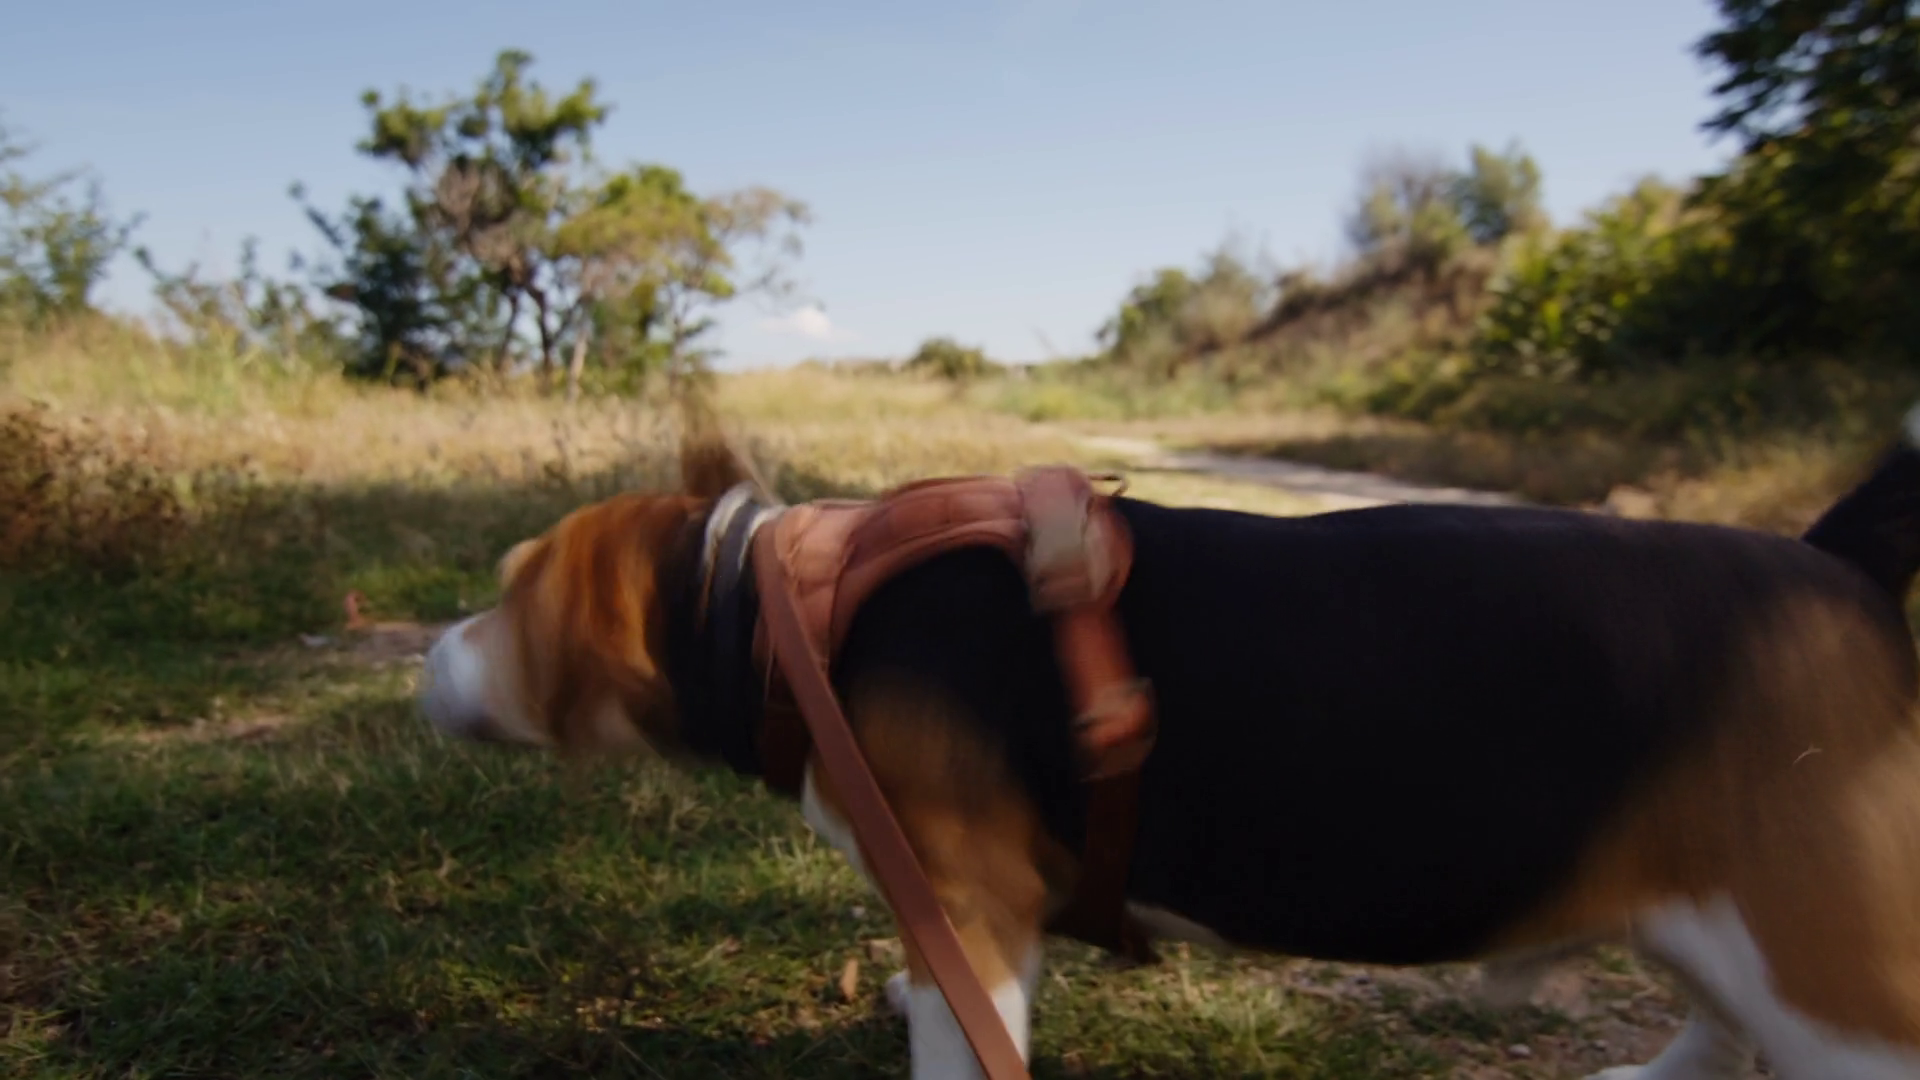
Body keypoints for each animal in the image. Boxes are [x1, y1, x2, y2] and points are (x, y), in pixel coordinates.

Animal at [420, 404, 1920, 1080]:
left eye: (508, 590)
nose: (429, 656)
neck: (791, 597)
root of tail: (1842, 564)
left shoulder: (970, 905)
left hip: (1823, 967)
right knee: (1718, 1031)